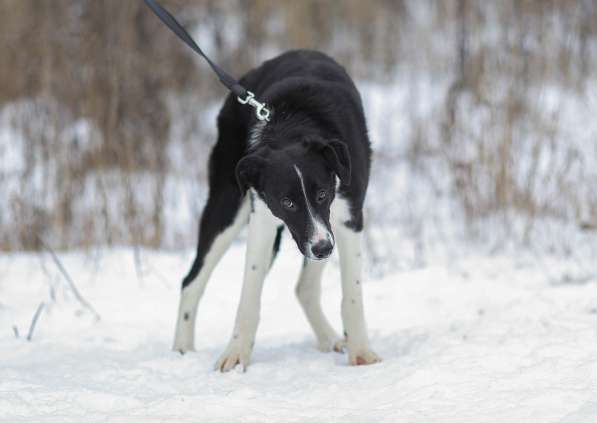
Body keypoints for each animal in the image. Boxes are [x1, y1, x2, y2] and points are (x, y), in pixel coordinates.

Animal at [170, 48, 380, 372]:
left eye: (322, 194)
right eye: (287, 202)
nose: (322, 249)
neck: (294, 126)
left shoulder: (345, 219)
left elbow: (352, 295)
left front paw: (361, 352)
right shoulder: (264, 220)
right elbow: (249, 294)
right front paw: (236, 353)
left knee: (305, 286)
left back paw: (329, 338)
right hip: (227, 205)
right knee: (191, 281)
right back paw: (181, 350)